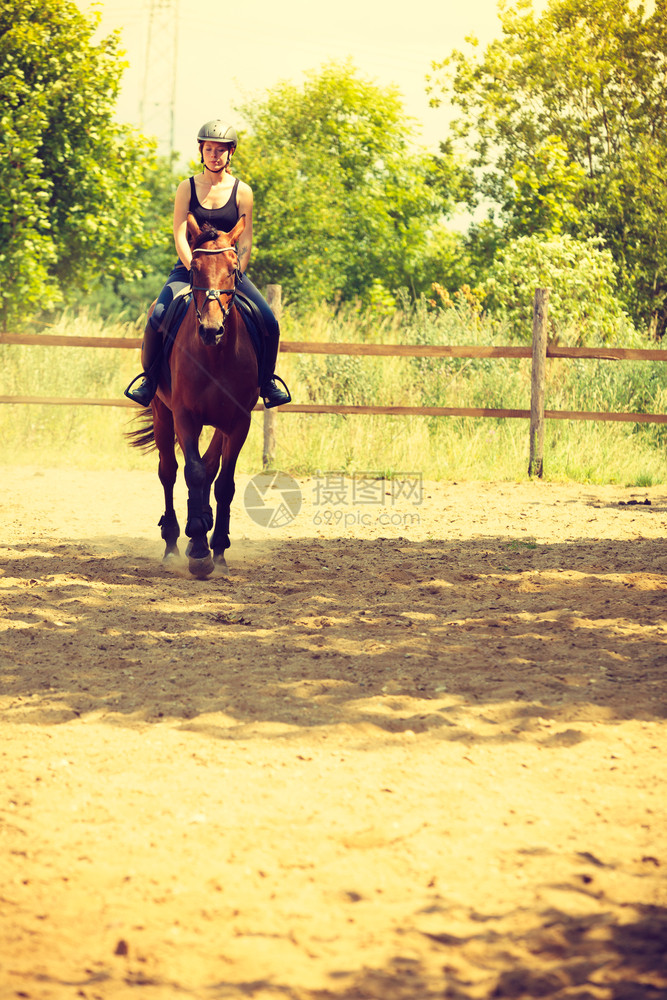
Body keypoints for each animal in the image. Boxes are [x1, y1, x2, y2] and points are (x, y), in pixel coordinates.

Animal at [129, 217, 260, 580]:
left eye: (232, 269)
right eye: (195, 270)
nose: (211, 330)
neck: (215, 355)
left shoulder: (238, 422)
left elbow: (223, 482)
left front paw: (218, 548)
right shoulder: (185, 417)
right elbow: (194, 473)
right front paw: (199, 550)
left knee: (210, 468)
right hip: (162, 413)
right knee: (169, 471)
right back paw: (174, 542)